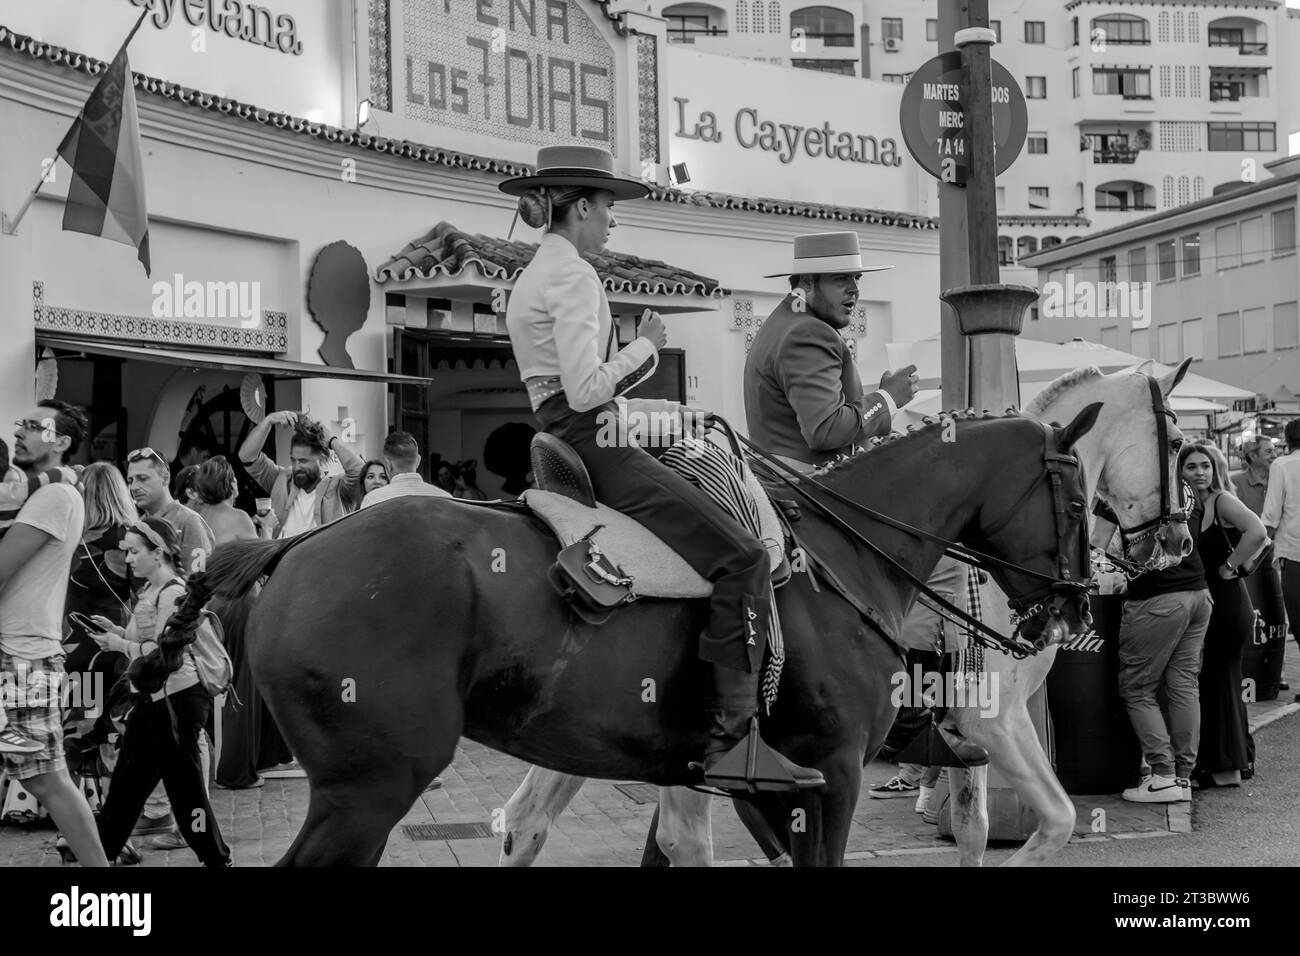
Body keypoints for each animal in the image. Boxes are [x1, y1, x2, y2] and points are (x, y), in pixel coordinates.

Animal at [172, 408, 1102, 868]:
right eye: (1078, 499)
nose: (1077, 610)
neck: (848, 557)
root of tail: (292, 546)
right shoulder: (829, 776)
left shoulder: (752, 782)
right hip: (368, 787)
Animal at [501, 361, 1190, 868]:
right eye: (1181, 442)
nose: (1180, 541)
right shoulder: (993, 719)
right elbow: (1057, 821)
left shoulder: (964, 743)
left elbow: (973, 829)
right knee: (681, 838)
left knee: (527, 822)